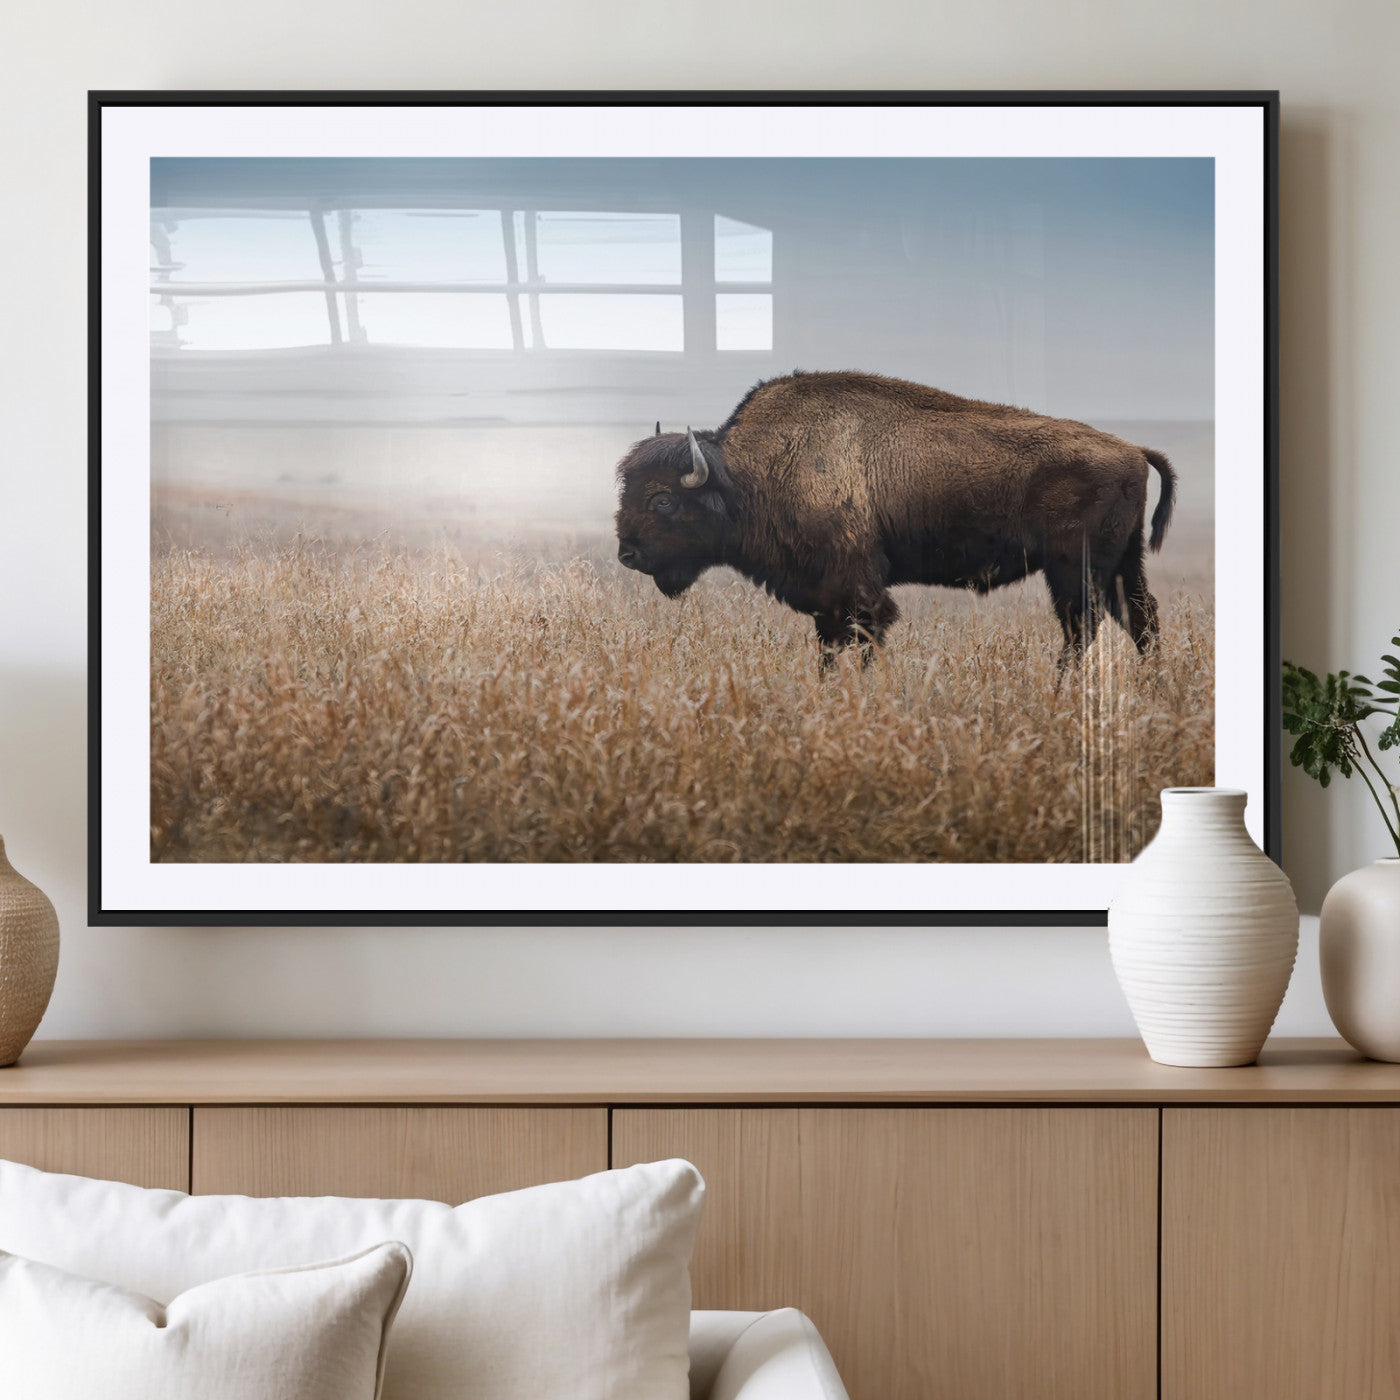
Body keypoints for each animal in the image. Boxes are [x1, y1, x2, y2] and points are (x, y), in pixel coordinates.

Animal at [614, 371, 1176, 673]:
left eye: (662, 500)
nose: (627, 554)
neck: (751, 472)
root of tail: (1133, 449)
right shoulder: (825, 599)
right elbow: (829, 647)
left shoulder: (858, 590)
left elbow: (864, 638)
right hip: (1122, 564)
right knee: (1140, 619)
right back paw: (1152, 687)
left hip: (1073, 568)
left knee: (1083, 627)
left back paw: (1060, 691)